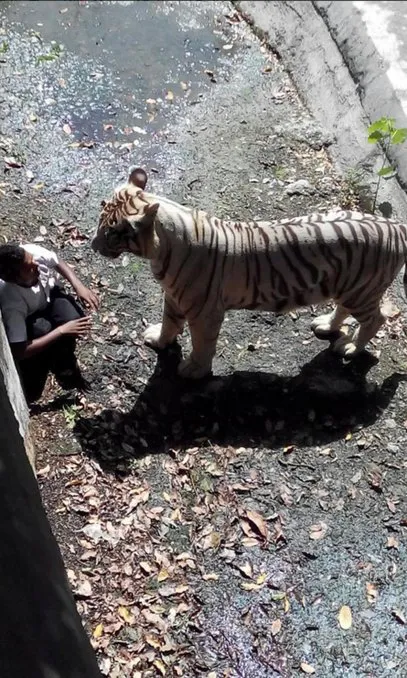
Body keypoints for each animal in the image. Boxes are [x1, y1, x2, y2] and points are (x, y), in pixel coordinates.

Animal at [91, 166, 407, 379]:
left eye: (111, 233)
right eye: (100, 218)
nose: (92, 245)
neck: (160, 250)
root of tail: (396, 225)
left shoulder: (205, 311)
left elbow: (203, 343)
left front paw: (194, 370)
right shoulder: (174, 297)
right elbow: (169, 322)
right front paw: (158, 339)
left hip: (362, 291)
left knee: (376, 319)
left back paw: (351, 347)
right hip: (346, 286)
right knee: (343, 309)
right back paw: (326, 325)